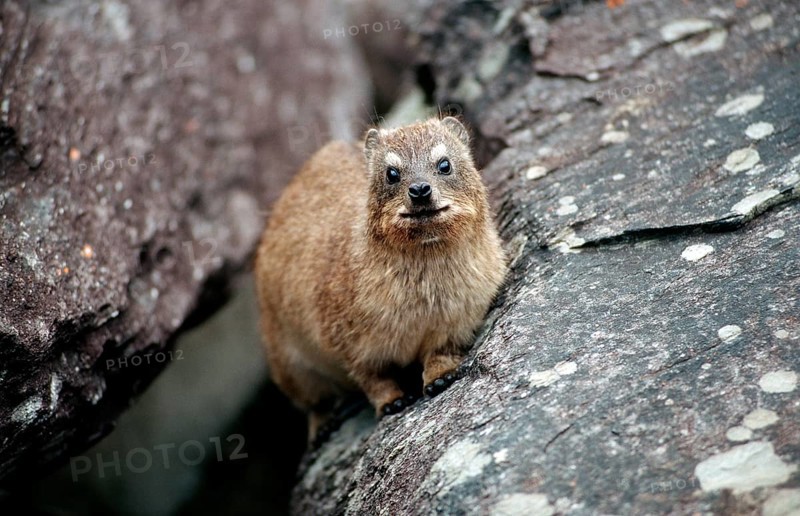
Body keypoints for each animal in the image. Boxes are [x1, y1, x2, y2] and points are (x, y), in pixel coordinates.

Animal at [255, 117, 507, 441]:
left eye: (445, 164)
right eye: (392, 173)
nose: (420, 189)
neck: (425, 299)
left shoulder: (461, 319)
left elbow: (441, 353)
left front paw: (439, 378)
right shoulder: (345, 339)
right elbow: (373, 378)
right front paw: (392, 402)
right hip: (287, 363)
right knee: (314, 402)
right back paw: (322, 428)